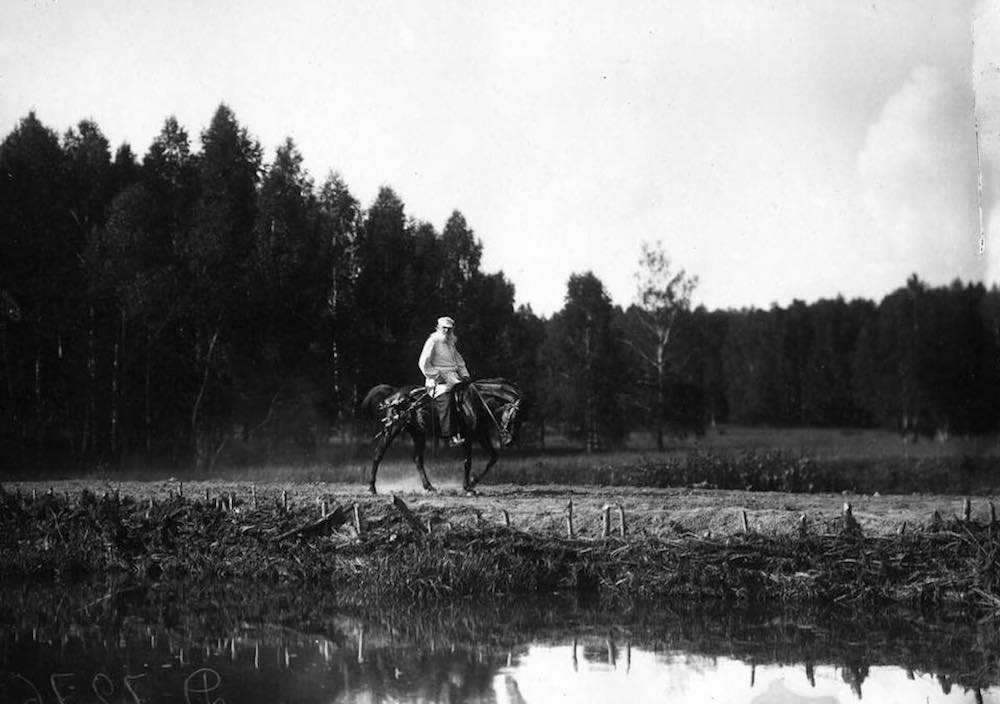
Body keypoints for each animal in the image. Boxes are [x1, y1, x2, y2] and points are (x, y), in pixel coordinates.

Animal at [366, 380, 524, 496]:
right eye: (514, 417)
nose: (510, 441)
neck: (475, 402)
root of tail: (393, 393)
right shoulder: (468, 437)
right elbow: (468, 462)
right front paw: (467, 487)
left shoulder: (480, 435)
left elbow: (493, 457)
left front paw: (473, 482)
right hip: (392, 429)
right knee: (378, 454)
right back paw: (372, 488)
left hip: (419, 434)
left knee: (417, 459)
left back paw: (429, 487)